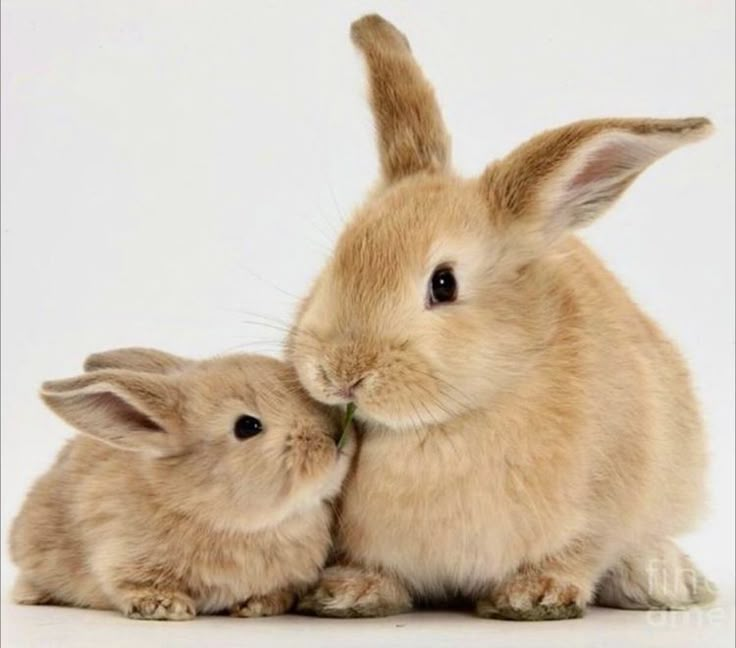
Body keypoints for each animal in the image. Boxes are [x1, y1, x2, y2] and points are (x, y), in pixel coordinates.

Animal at [10, 346, 356, 620]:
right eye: (247, 426)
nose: (334, 435)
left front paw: (258, 605)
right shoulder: (120, 553)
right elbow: (130, 584)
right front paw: (165, 606)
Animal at [290, 15, 716, 620]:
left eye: (443, 284)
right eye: (336, 261)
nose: (340, 373)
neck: (448, 421)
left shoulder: (607, 503)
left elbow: (581, 552)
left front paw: (536, 594)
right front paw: (350, 591)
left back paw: (663, 580)